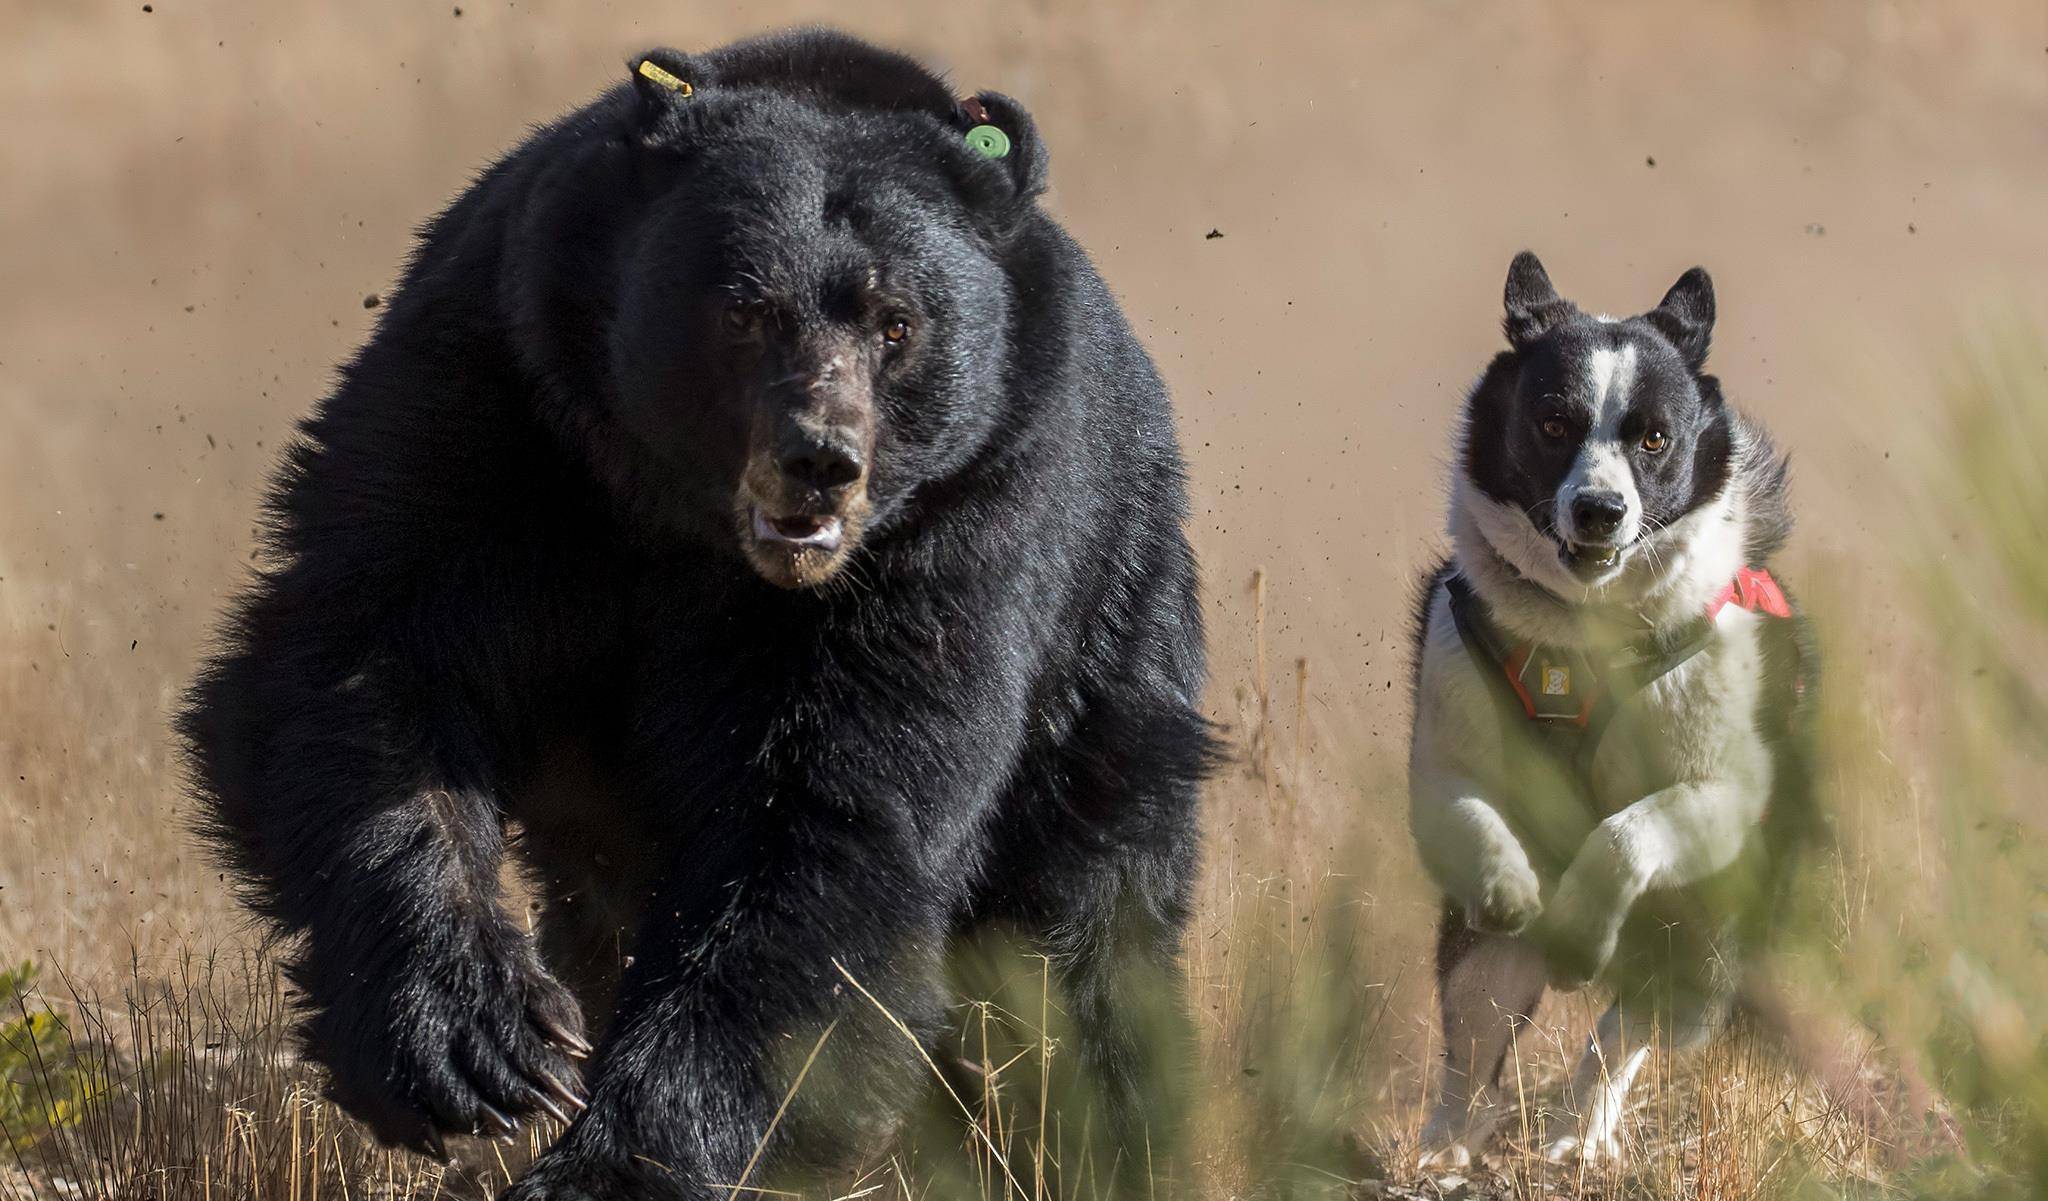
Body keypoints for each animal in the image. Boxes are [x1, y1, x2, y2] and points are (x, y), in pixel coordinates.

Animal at [180, 28, 1212, 1196]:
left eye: (897, 322)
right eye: (744, 308)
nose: (819, 462)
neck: (687, 525)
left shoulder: (961, 527)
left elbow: (827, 819)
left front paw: (609, 1161)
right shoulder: (500, 401)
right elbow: (367, 658)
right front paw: (481, 1048)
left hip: (1107, 656)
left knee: (1088, 935)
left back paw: (1093, 1133)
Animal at [1409, 250, 1810, 1155]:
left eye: (1654, 437)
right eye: (1553, 423)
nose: (1600, 509)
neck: (1581, 640)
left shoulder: (1720, 793)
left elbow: (1627, 832)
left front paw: (1579, 927)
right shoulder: (1443, 766)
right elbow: (1475, 820)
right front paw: (1515, 886)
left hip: (1697, 940)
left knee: (1629, 1028)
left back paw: (1577, 1134)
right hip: (1486, 976)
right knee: (1475, 1032)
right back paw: (1448, 1140)